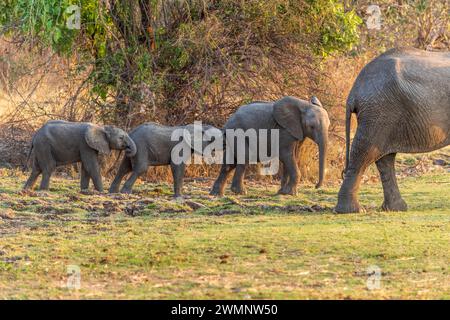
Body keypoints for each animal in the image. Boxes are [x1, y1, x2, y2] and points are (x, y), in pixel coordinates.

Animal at [336, 47, 448, 212]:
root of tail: (353, 93)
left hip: (382, 115)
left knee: (384, 158)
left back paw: (395, 208)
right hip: (379, 112)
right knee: (364, 153)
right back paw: (350, 210)